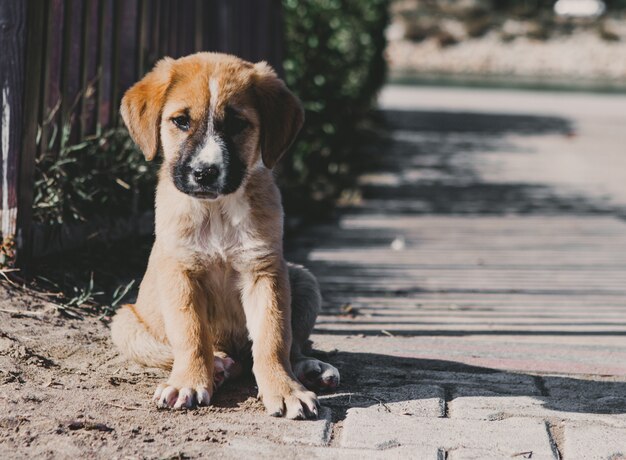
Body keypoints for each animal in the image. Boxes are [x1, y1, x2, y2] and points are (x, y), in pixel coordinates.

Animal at [109, 52, 338, 418]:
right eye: (181, 121)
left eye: (236, 124)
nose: (204, 173)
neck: (216, 211)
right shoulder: (181, 273)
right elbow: (191, 334)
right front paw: (188, 382)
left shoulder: (265, 271)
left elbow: (273, 337)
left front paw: (284, 389)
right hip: (125, 322)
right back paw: (218, 365)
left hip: (302, 278)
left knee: (294, 346)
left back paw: (309, 369)